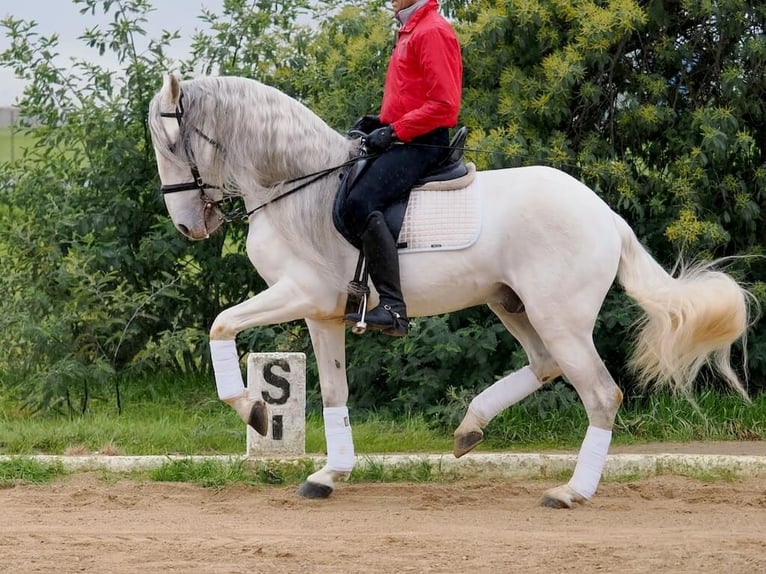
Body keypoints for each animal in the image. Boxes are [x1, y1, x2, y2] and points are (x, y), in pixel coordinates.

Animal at [147, 75, 752, 508]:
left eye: (172, 142)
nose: (187, 227)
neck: (298, 188)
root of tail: (606, 215)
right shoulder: (323, 313)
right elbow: (336, 393)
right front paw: (330, 474)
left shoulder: (302, 292)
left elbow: (221, 324)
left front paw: (252, 409)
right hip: (512, 304)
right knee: (545, 364)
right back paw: (470, 427)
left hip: (559, 316)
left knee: (601, 394)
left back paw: (570, 492)